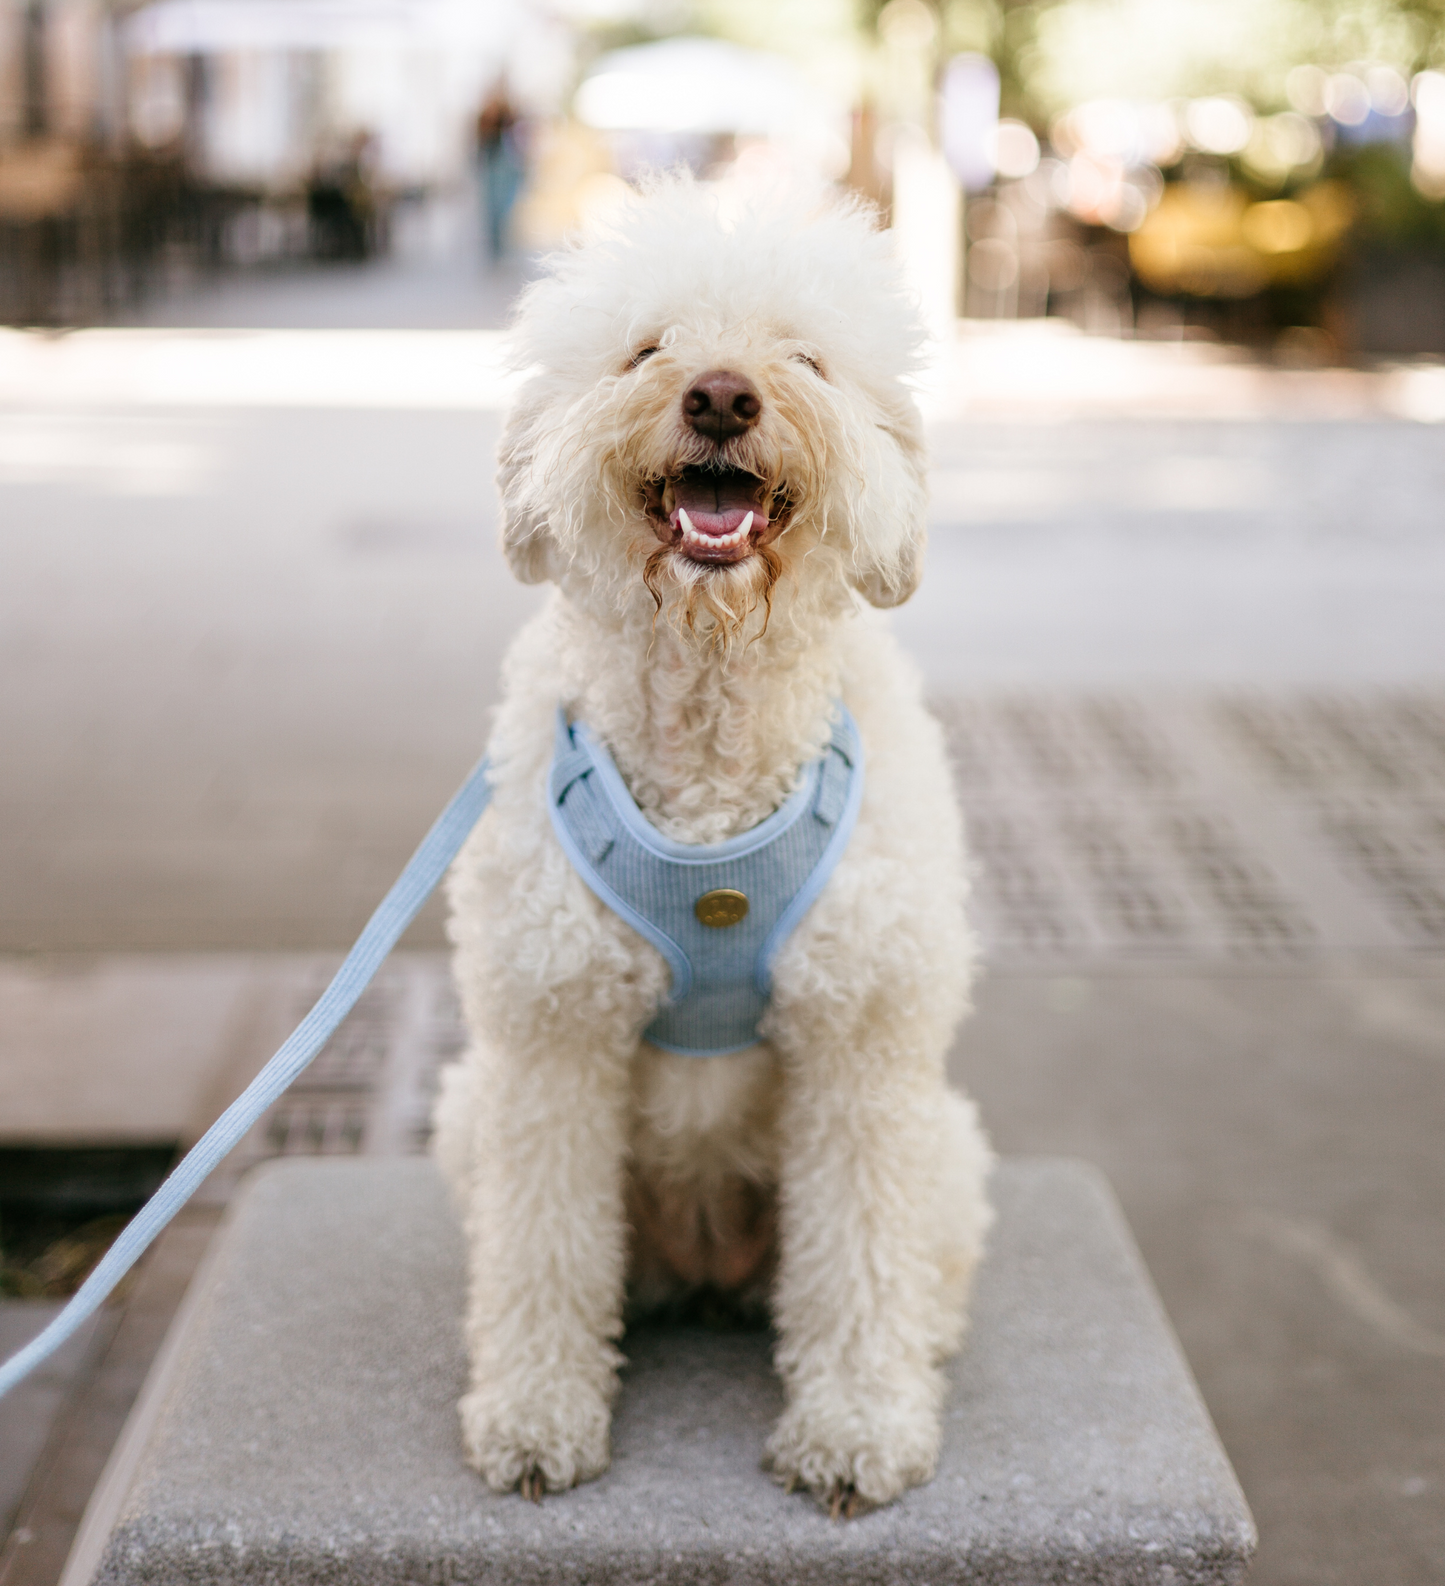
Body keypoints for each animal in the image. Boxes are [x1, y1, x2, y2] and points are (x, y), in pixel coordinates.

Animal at [428, 180, 996, 1516]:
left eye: (806, 358)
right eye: (644, 350)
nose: (723, 394)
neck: (708, 723)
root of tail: (699, 1256)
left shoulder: (861, 1049)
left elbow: (862, 1254)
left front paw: (857, 1424)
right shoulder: (547, 1044)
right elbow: (541, 1251)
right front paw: (536, 1415)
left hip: (943, 1142)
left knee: (902, 1260)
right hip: (472, 1114)